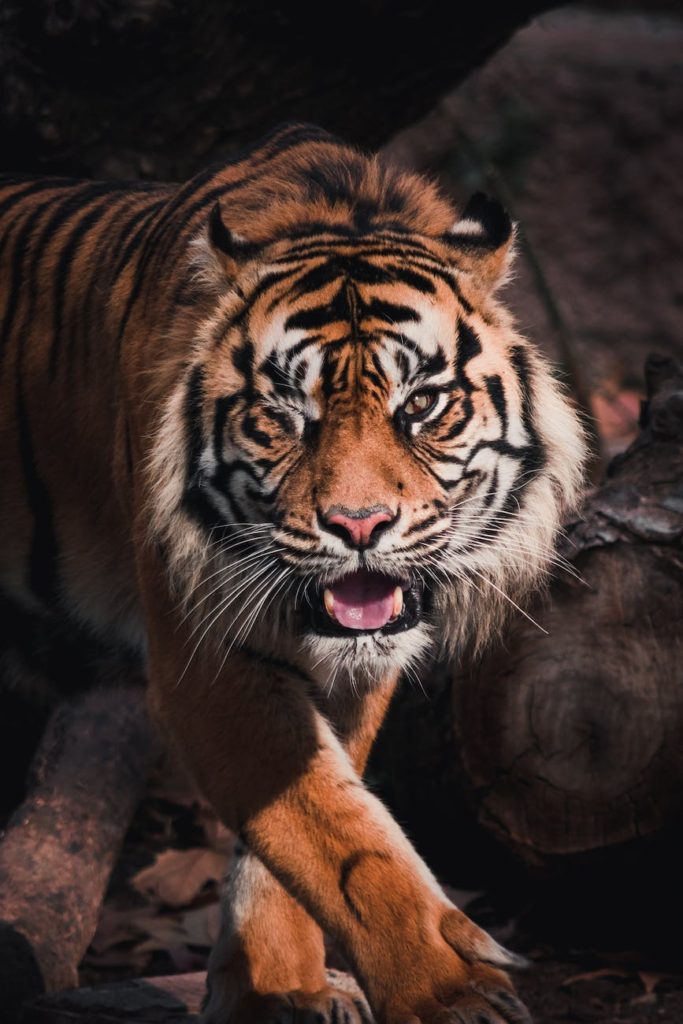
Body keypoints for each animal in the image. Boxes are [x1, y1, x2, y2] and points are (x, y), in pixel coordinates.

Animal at [0, 124, 585, 1024]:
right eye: (285, 416)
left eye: (419, 407)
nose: (359, 525)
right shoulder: (204, 658)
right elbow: (335, 837)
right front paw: (447, 989)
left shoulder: (347, 674)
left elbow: (310, 821)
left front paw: (280, 988)